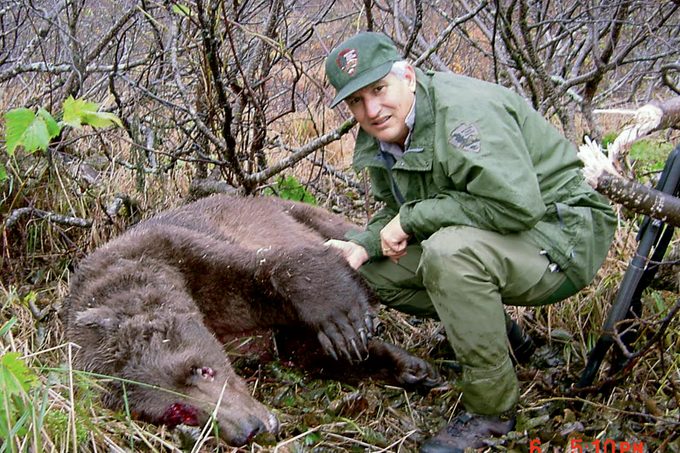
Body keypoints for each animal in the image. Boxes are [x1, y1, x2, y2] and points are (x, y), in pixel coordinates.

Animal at [62, 194, 440, 447]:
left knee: (347, 231)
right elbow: (300, 348)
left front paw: (342, 320)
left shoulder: (183, 251)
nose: (249, 430)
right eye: (176, 412)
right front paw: (405, 367)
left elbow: (275, 268)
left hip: (293, 211)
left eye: (201, 369)